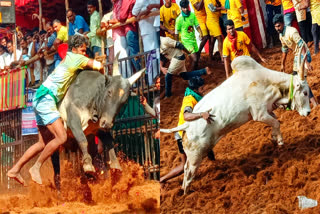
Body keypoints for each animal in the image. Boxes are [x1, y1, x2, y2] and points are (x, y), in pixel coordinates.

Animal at [161, 54, 312, 194]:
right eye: (305, 92)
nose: (309, 112)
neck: (268, 83)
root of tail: (186, 126)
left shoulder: (268, 111)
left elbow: (275, 122)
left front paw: (274, 137)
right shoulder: (259, 114)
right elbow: (276, 123)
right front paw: (279, 141)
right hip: (195, 157)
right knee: (188, 173)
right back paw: (187, 193)